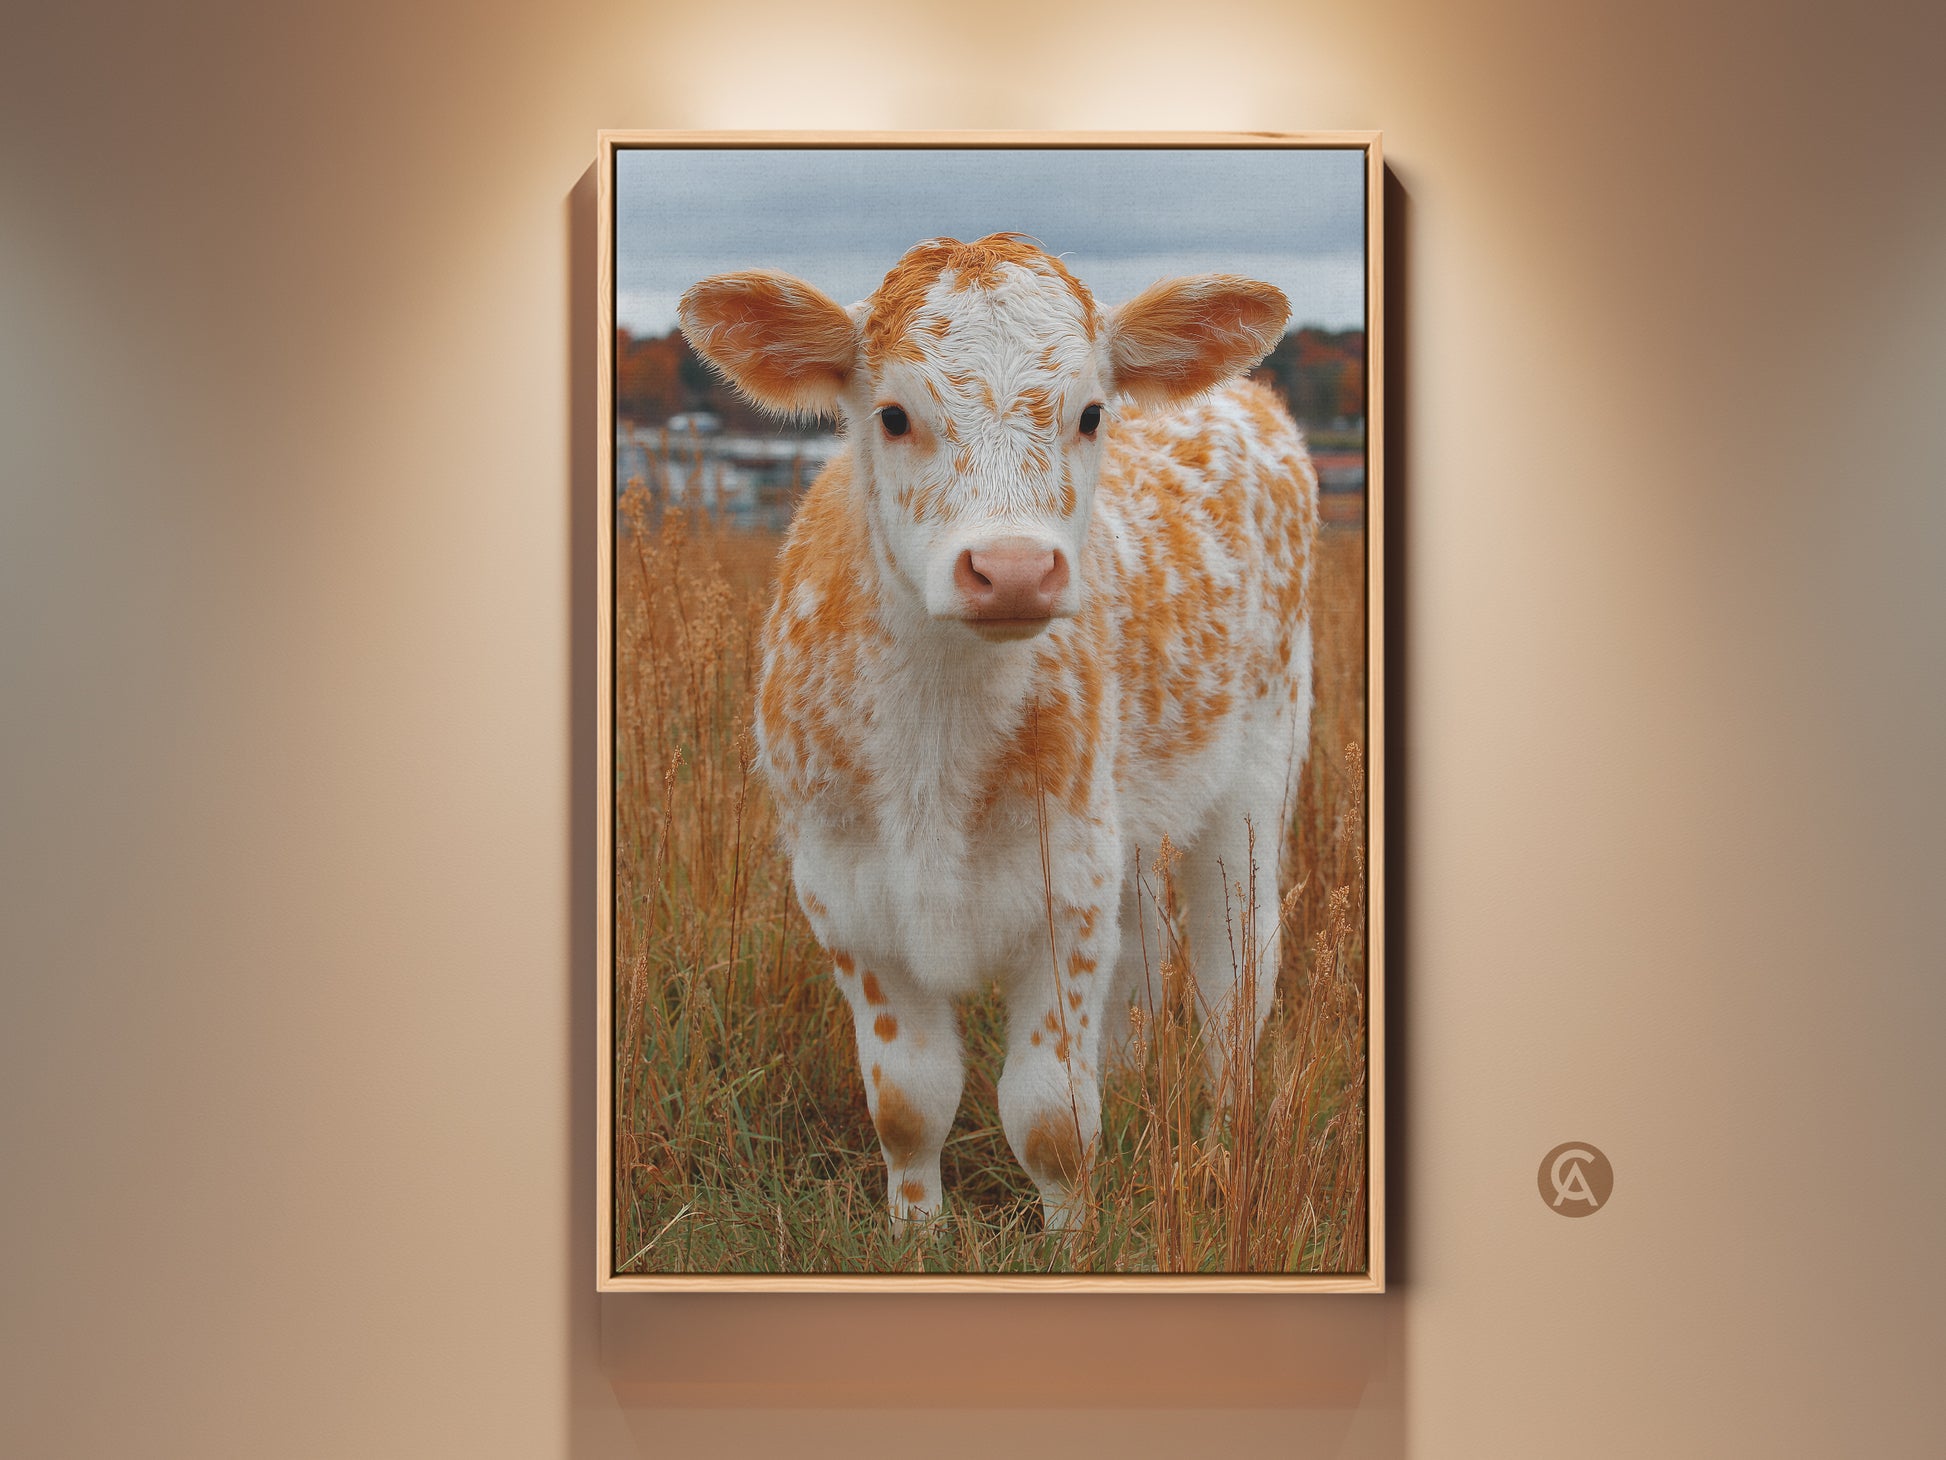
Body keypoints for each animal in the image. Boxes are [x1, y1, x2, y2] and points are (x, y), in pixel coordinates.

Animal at [678, 234, 1318, 1232]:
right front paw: (916, 1232)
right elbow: (908, 1101)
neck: (933, 755)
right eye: (893, 415)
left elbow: (1052, 1115)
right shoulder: (845, 897)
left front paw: (1073, 1239)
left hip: (1257, 773)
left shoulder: (1067, 892)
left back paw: (1226, 1146)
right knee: (1147, 973)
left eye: (1091, 412)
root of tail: (1250, 400)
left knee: (1234, 985)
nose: (1013, 569)